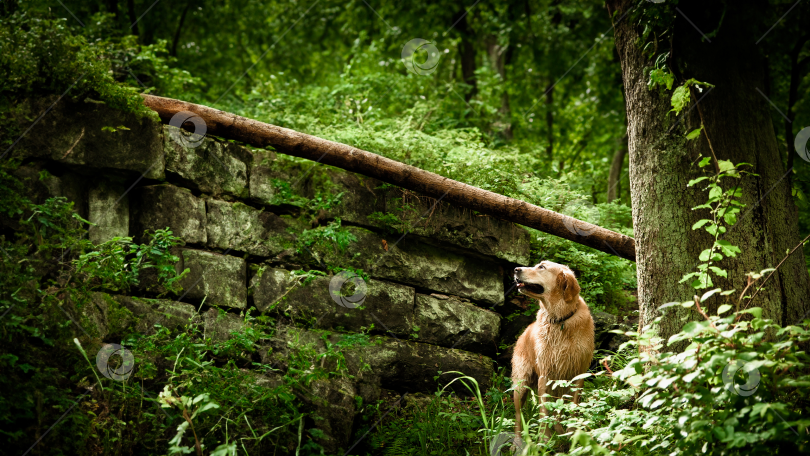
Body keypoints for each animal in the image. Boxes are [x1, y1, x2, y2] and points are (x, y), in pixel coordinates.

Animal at [512, 262, 592, 444]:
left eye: (541, 267)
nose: (516, 269)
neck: (559, 320)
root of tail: (523, 333)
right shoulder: (545, 374)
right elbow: (544, 410)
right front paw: (544, 438)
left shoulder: (579, 374)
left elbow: (573, 406)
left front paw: (572, 432)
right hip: (521, 384)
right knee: (518, 417)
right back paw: (517, 443)